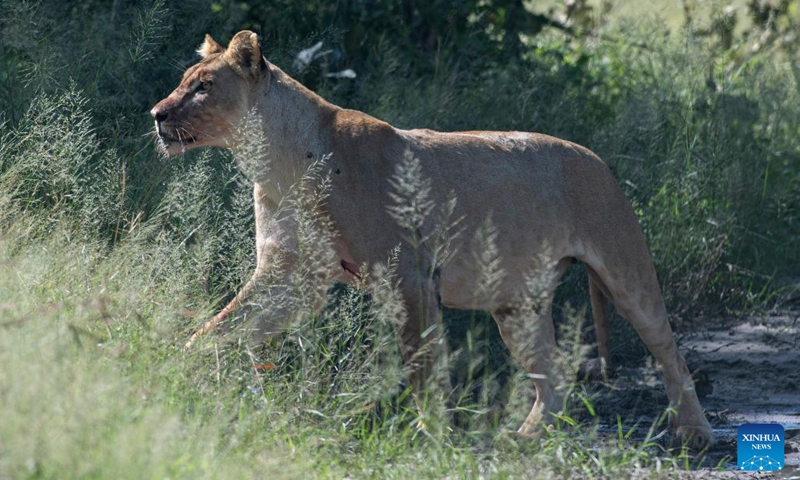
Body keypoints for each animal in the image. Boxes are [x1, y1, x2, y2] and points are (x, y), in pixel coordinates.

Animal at [151, 31, 714, 449]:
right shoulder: (292, 275)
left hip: (624, 267)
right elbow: (224, 326)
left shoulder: (408, 274)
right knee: (553, 377)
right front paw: (175, 371)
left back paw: (693, 432)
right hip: (514, 303)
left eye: (203, 87)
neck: (273, 161)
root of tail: (596, 158)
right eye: (182, 83)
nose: (156, 115)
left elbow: (423, 365)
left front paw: (430, 436)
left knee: (669, 352)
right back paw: (525, 438)